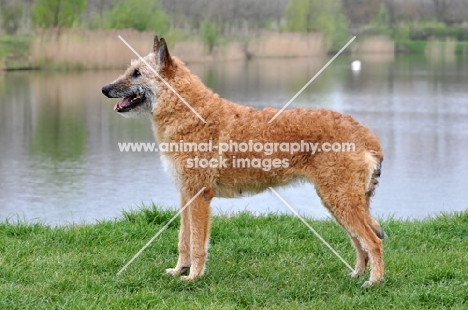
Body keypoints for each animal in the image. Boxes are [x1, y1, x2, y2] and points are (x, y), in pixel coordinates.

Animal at [101, 35, 384, 286]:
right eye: (130, 70)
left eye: (136, 73)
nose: (104, 89)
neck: (190, 113)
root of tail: (365, 133)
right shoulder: (185, 194)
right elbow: (183, 239)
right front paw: (179, 270)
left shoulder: (199, 196)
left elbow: (197, 243)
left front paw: (193, 277)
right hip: (337, 203)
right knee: (361, 244)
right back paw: (357, 276)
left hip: (340, 202)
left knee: (374, 242)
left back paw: (374, 282)